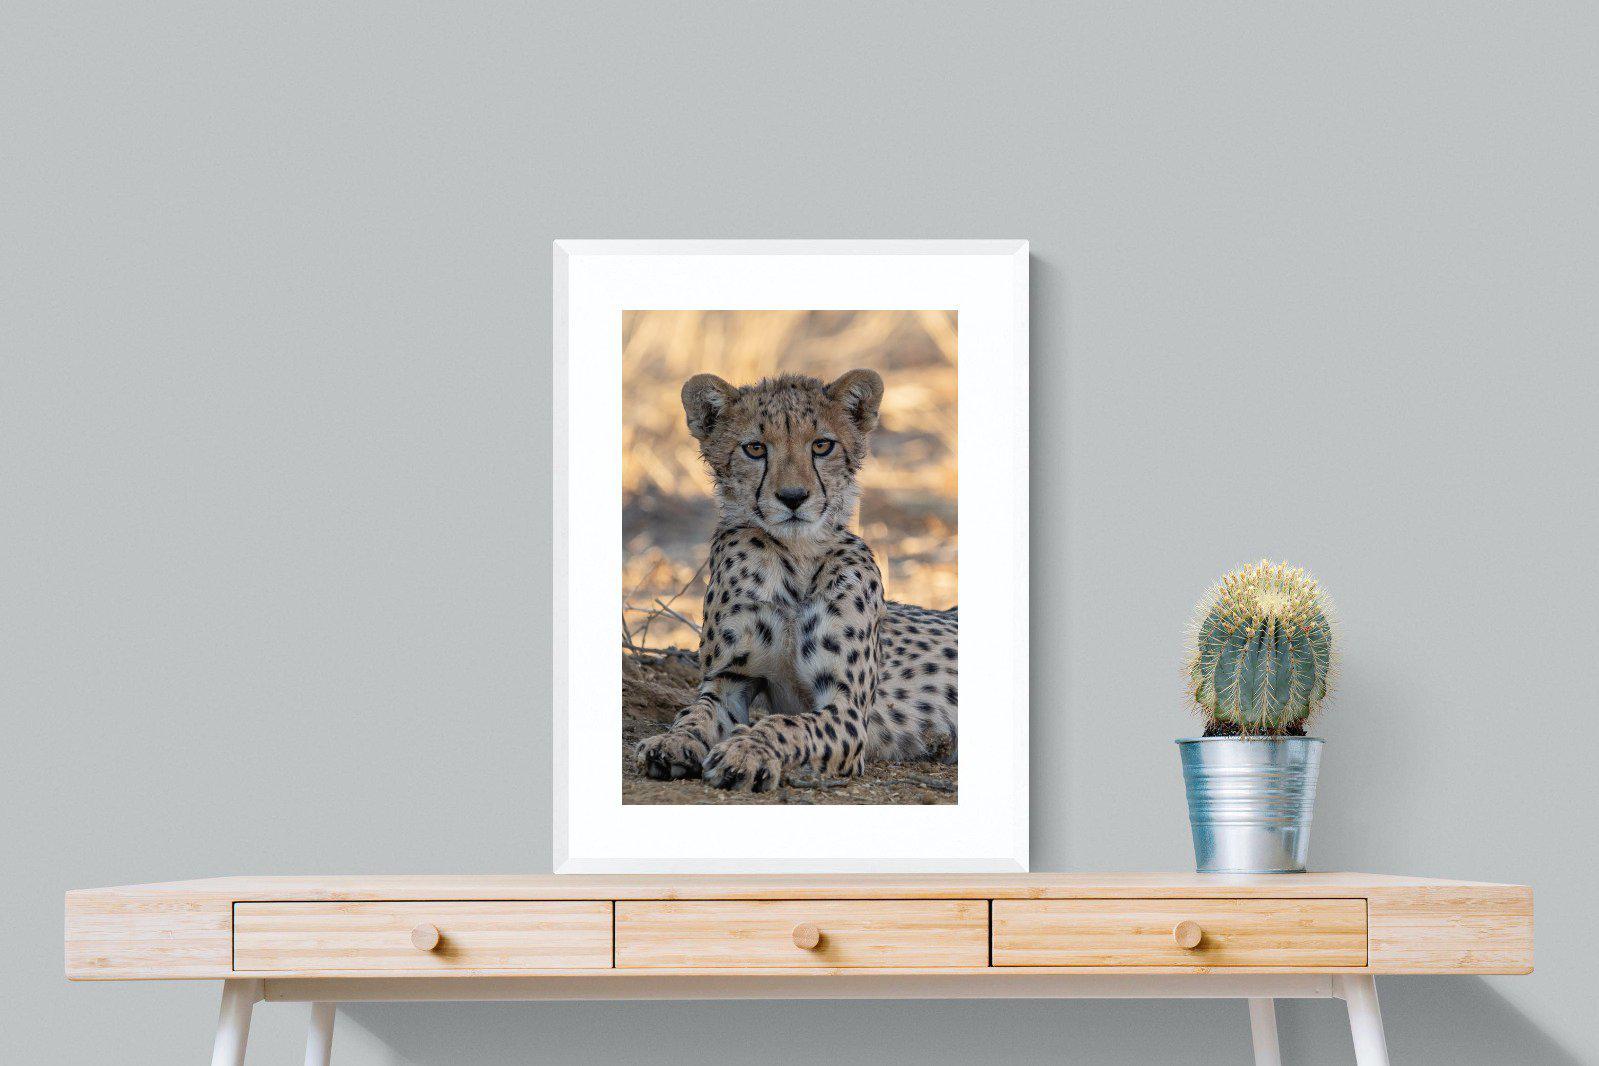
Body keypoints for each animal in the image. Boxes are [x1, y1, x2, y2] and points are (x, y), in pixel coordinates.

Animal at [633, 367, 958, 793]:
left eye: (822, 445)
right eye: (755, 449)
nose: (792, 497)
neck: (796, 558)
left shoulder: (847, 709)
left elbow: (786, 724)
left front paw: (746, 752)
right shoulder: (729, 681)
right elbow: (695, 713)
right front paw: (672, 742)